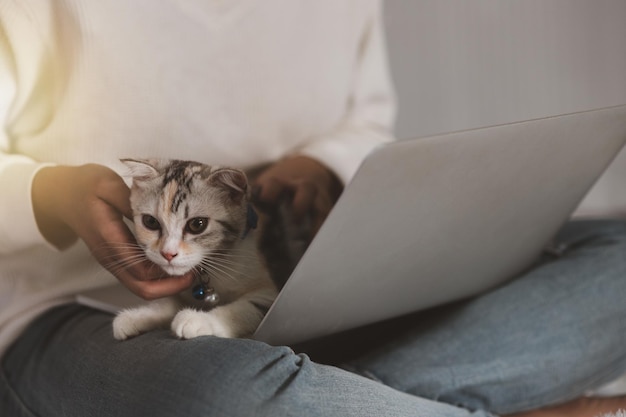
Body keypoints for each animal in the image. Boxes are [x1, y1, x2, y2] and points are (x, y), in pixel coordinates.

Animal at [112, 158, 278, 340]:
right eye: (151, 222)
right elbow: (169, 303)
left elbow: (247, 309)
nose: (168, 253)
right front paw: (136, 316)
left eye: (197, 224)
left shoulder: (270, 294)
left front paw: (199, 320)